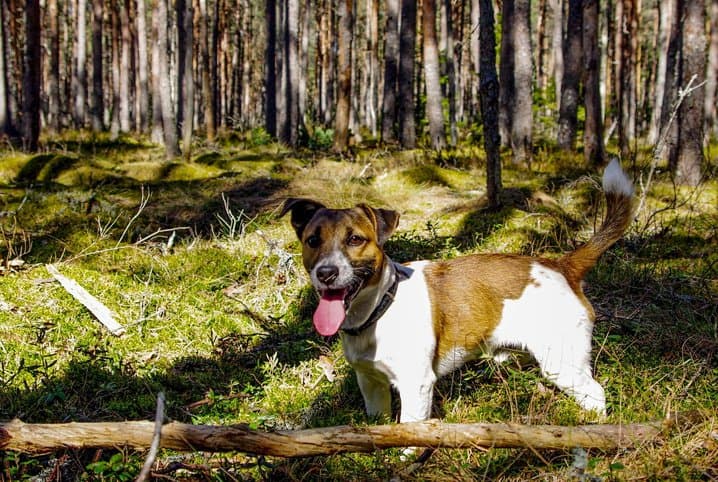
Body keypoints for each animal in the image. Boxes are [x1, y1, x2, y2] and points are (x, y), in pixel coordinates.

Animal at [282, 161, 636, 422]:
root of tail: (562, 264)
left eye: (355, 239)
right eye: (313, 240)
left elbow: (410, 427)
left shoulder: (416, 384)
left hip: (562, 363)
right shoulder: (371, 384)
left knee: (595, 394)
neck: (380, 307)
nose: (326, 273)